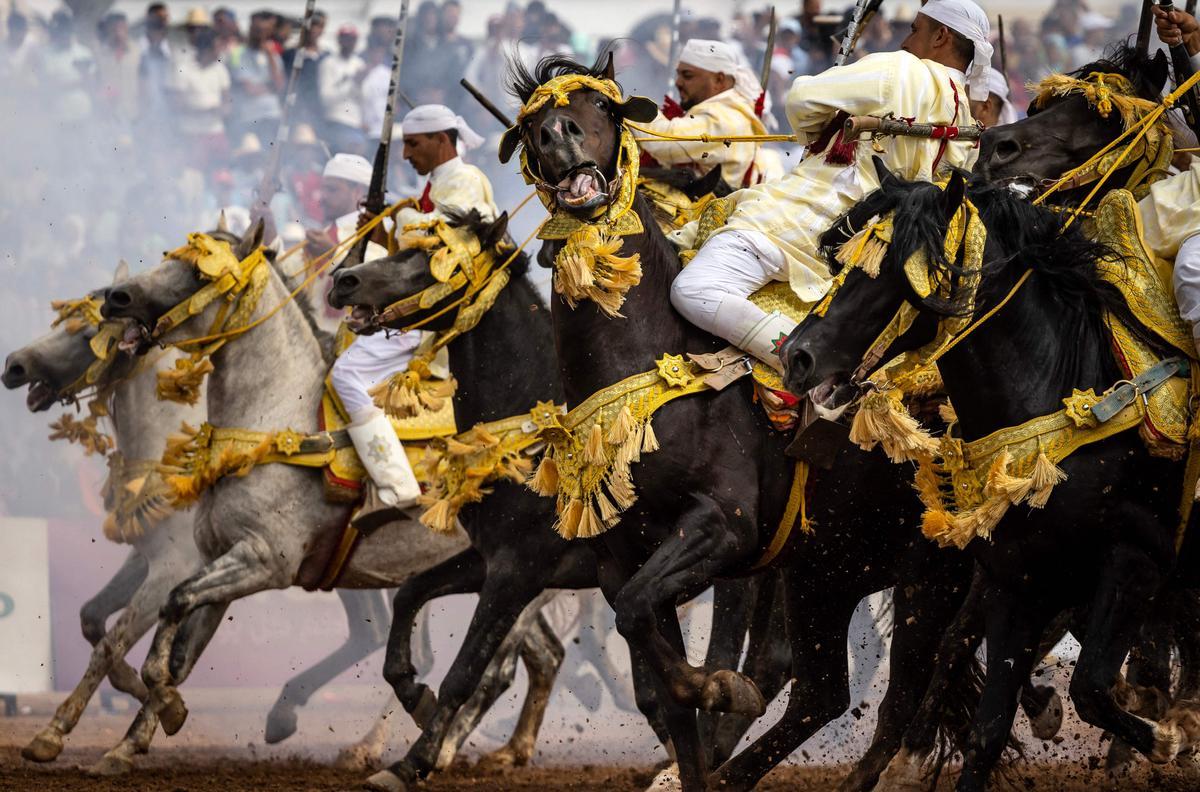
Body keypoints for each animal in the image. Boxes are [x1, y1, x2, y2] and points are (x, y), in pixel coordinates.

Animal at [782, 169, 1185, 792]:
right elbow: (988, 732)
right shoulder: (1016, 582)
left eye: (894, 273)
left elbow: (1090, 686)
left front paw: (1171, 737)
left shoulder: (1134, 560)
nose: (796, 357)